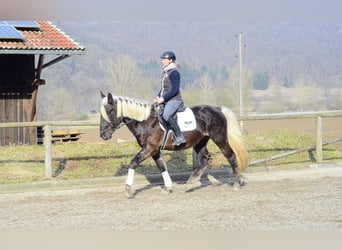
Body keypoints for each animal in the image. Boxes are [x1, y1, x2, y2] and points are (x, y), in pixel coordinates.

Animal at [99, 92, 248, 197]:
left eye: (110, 110)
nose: (103, 135)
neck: (144, 121)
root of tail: (217, 109)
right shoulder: (154, 150)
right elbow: (162, 166)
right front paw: (167, 187)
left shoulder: (149, 148)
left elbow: (133, 162)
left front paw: (128, 189)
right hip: (200, 141)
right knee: (206, 159)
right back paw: (190, 184)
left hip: (219, 138)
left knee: (231, 156)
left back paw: (237, 183)